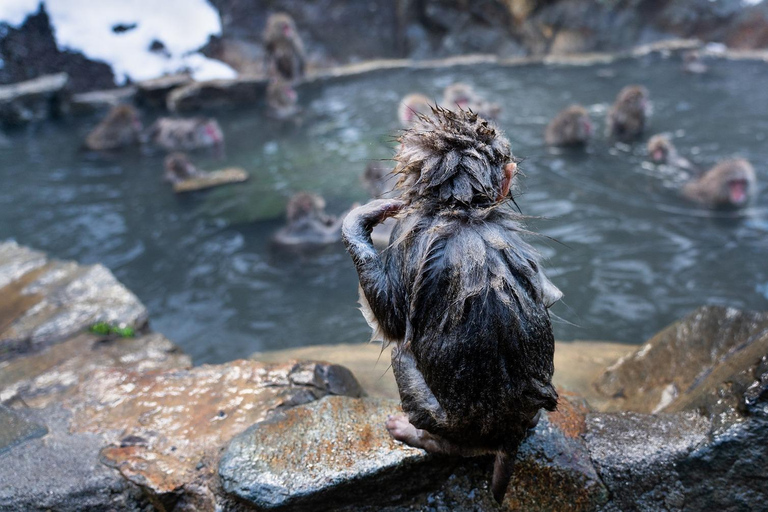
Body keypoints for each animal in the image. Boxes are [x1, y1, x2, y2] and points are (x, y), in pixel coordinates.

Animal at [342, 107, 562, 504]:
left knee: (400, 354)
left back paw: (419, 435)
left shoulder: (405, 235)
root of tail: (506, 436)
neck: (462, 212)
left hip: (434, 410)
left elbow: (390, 318)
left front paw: (360, 220)